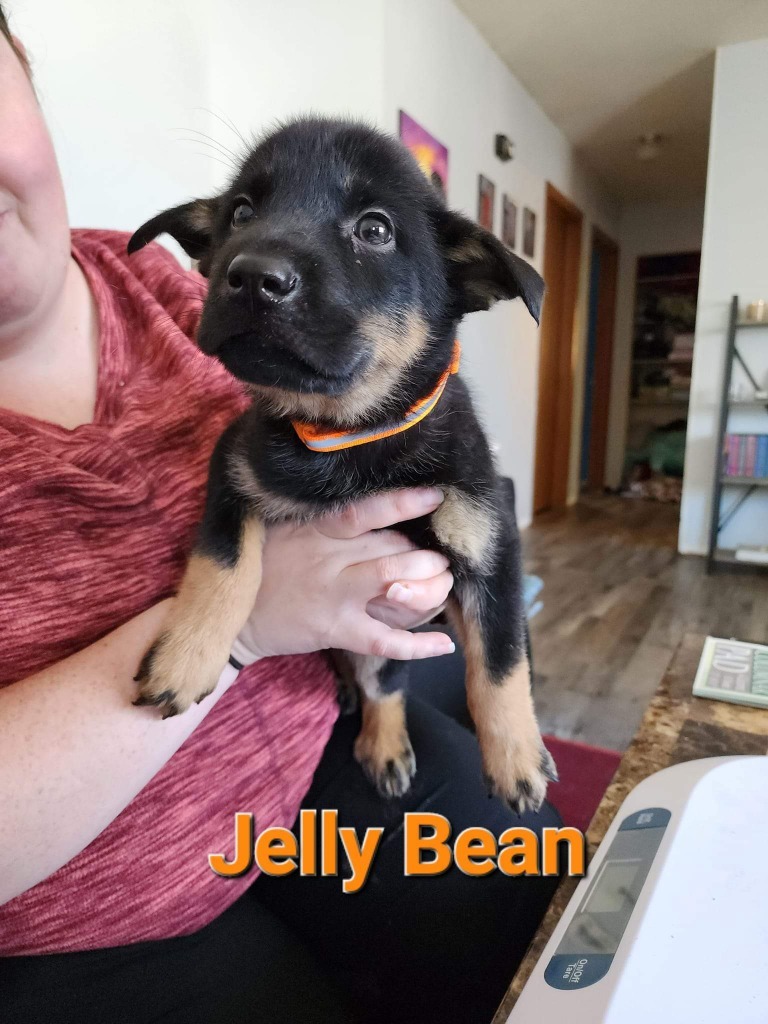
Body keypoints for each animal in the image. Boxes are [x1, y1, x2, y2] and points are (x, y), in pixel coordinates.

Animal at [129, 116, 557, 811]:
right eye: (240, 213)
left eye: (375, 230)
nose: (252, 276)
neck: (348, 434)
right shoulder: (232, 470)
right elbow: (224, 565)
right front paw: (185, 657)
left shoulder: (489, 547)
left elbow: (500, 659)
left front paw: (516, 755)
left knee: (385, 680)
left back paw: (382, 741)